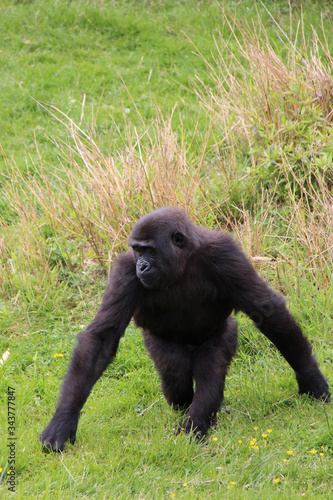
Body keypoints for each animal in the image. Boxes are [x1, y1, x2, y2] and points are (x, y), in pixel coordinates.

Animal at [39, 206, 330, 450]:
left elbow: (266, 309)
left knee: (210, 369)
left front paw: (310, 377)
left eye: (149, 250)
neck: (184, 258)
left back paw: (197, 423)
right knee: (175, 375)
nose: (142, 265)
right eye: (137, 251)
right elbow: (102, 337)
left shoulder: (225, 253)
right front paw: (64, 420)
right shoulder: (125, 270)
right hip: (158, 343)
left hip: (222, 332)